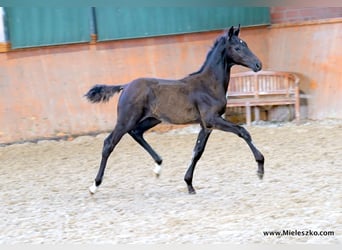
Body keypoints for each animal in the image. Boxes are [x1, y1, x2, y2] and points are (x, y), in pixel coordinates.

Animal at [85, 25, 264, 194]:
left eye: (245, 44)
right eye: (238, 48)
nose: (258, 64)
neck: (209, 85)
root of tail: (126, 85)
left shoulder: (206, 125)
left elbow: (198, 151)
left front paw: (189, 184)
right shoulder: (212, 119)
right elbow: (243, 131)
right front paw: (260, 167)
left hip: (151, 119)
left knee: (136, 133)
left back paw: (158, 167)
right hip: (126, 120)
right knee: (109, 143)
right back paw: (94, 186)